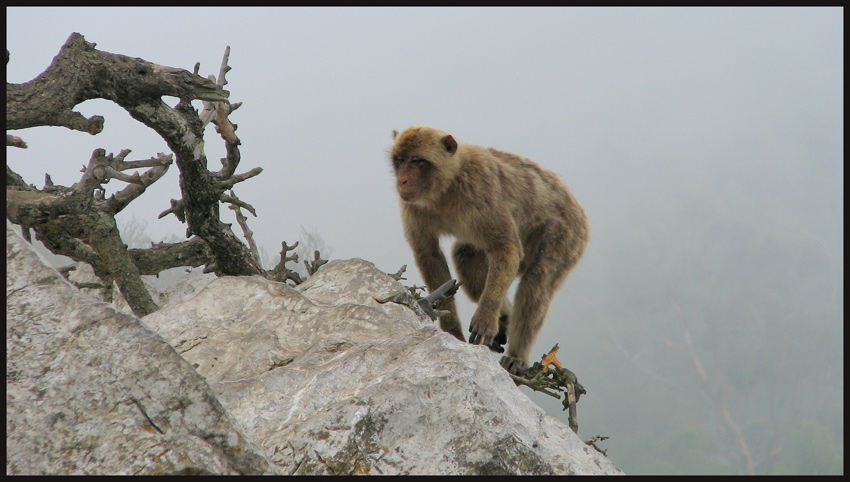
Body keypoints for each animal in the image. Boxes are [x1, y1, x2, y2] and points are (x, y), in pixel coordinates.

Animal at [388, 126, 588, 374]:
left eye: (416, 161)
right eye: (399, 160)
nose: (402, 181)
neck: (447, 186)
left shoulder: (480, 188)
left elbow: (507, 249)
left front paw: (485, 317)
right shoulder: (413, 206)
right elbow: (429, 255)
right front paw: (452, 331)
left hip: (568, 234)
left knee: (537, 280)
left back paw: (516, 355)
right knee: (466, 254)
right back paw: (505, 319)